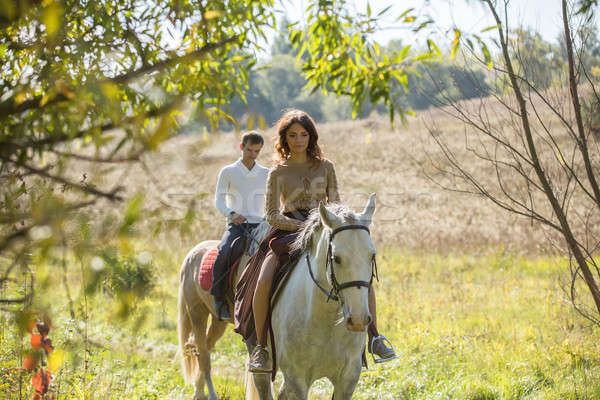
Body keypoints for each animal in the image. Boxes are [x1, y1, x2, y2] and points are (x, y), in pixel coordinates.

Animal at [254, 194, 378, 400]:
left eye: (372, 256)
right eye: (336, 258)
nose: (358, 320)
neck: (326, 320)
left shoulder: (348, 378)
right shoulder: (297, 379)